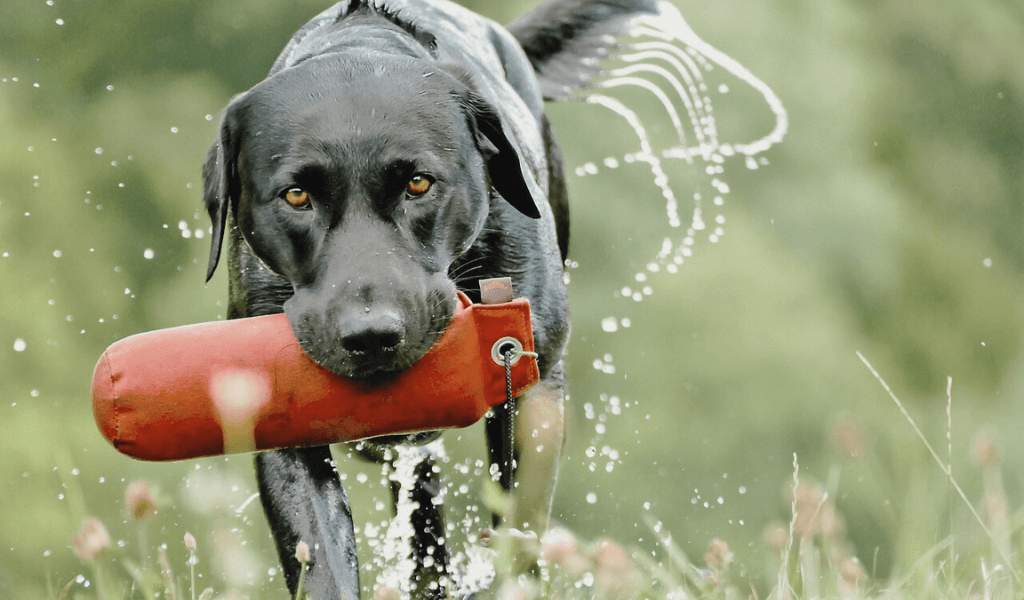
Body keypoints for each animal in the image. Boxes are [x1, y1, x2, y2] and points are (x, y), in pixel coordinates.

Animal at [201, 0, 655, 593]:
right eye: (296, 196)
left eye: (418, 183)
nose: (371, 336)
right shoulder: (282, 432)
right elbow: (320, 558)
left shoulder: (534, 389)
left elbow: (518, 530)